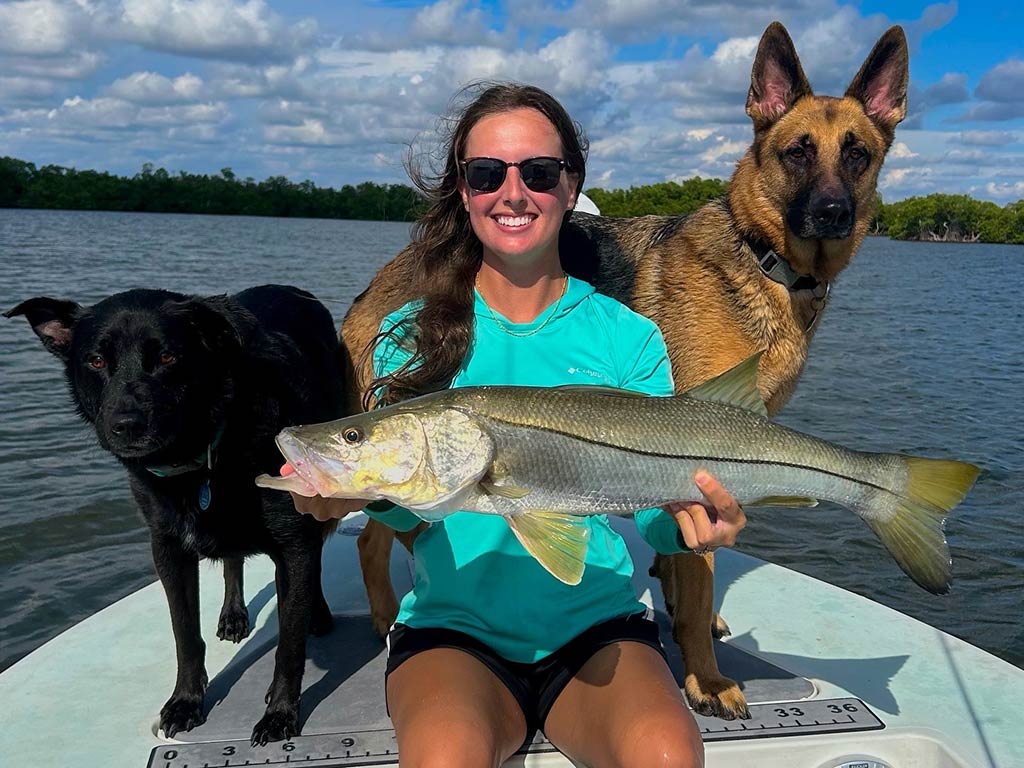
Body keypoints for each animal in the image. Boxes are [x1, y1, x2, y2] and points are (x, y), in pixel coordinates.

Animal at [4, 282, 348, 745]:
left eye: (168, 357)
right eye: (96, 360)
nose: (126, 424)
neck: (201, 459)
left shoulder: (293, 542)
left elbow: (289, 642)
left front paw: (279, 713)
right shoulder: (167, 548)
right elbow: (185, 633)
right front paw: (186, 701)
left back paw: (318, 614)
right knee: (233, 560)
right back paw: (233, 615)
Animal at [339, 24, 909, 720]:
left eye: (858, 155)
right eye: (797, 152)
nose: (832, 212)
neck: (762, 259)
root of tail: (379, 282)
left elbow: (685, 558)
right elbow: (696, 585)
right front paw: (706, 678)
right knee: (372, 538)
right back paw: (384, 617)